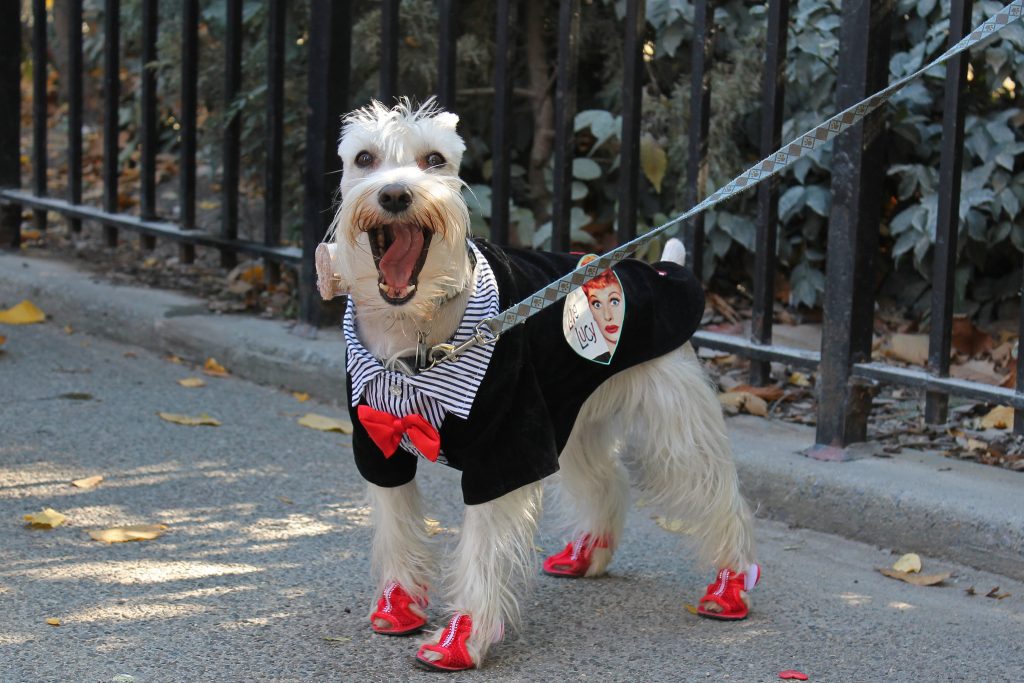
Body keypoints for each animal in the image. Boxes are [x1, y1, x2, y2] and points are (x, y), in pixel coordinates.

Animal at [319, 98, 761, 671]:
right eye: (364, 158)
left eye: (435, 159)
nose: (395, 194)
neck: (416, 329)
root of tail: (664, 269)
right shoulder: (380, 443)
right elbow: (397, 528)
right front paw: (398, 606)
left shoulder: (506, 454)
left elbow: (483, 552)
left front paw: (461, 639)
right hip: (572, 418)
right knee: (607, 481)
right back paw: (587, 554)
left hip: (675, 428)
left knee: (718, 496)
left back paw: (731, 587)